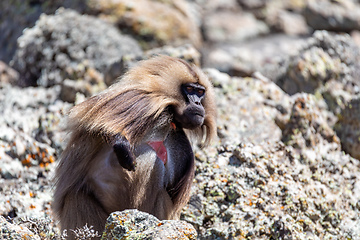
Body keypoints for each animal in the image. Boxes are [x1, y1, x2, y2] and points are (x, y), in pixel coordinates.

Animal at [52, 54, 217, 236]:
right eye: (189, 89)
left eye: (200, 92)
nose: (198, 104)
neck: (169, 120)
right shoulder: (145, 101)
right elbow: (91, 122)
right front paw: (122, 145)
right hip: (82, 211)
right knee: (151, 158)